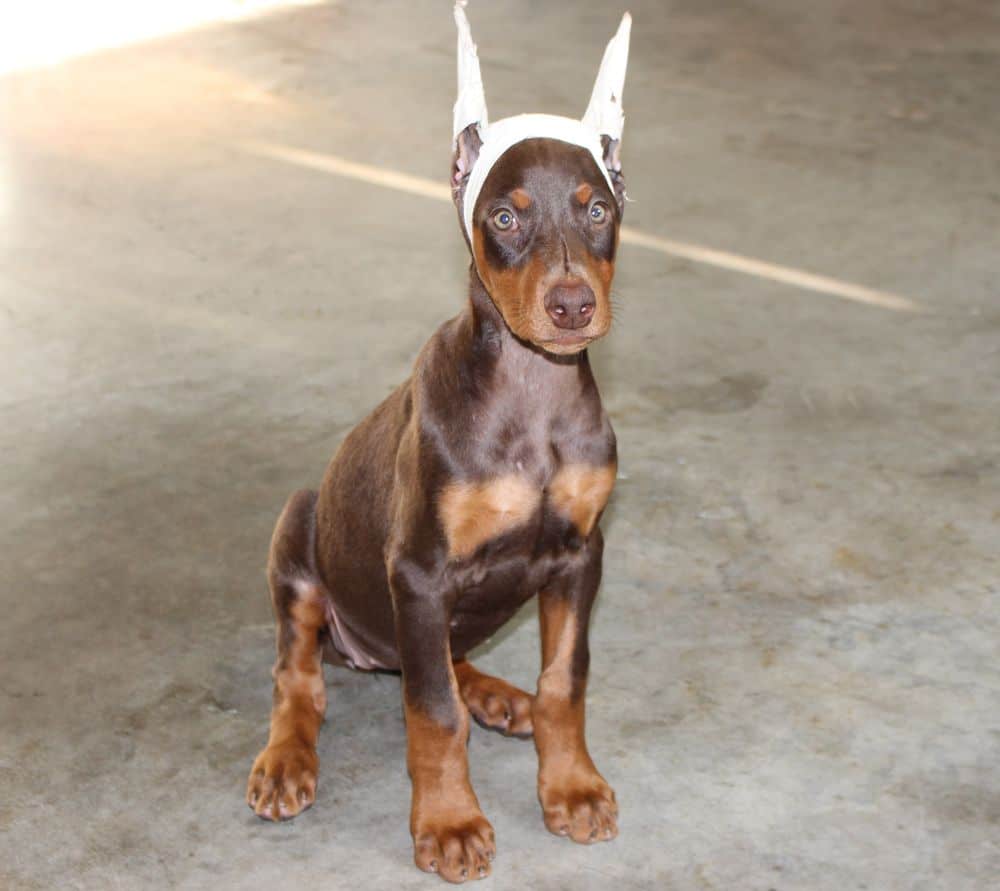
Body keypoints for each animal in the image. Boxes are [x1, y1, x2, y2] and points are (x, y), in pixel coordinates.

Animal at [246, 13, 628, 884]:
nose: (571, 305)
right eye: (506, 218)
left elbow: (565, 679)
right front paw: (449, 823)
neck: (532, 395)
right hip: (300, 534)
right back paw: (287, 758)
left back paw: (495, 693)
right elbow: (431, 714)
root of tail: (367, 651)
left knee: (445, 662)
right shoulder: (419, 569)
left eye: (597, 210)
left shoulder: (580, 553)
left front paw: (571, 786)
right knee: (299, 674)